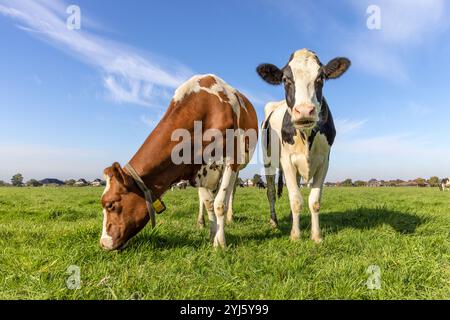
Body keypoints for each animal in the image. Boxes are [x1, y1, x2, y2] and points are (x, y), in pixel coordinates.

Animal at [100, 74, 258, 250]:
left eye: (110, 204)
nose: (103, 243)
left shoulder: (232, 160)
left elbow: (219, 204)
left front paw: (220, 243)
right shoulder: (195, 168)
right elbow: (208, 202)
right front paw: (212, 235)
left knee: (231, 192)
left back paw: (230, 217)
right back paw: (201, 222)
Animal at [256, 48, 352, 242]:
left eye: (320, 78)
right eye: (285, 79)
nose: (305, 111)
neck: (307, 136)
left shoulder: (324, 162)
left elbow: (314, 201)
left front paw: (316, 236)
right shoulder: (287, 162)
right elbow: (295, 200)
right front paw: (295, 235)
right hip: (268, 161)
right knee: (271, 192)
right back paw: (274, 221)